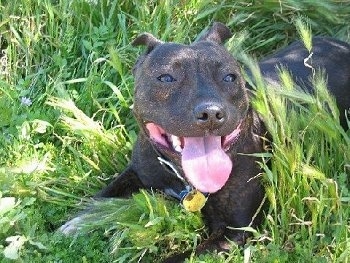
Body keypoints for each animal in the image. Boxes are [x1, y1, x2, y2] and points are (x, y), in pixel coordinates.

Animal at [60, 22, 350, 262]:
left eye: (230, 77)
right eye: (166, 78)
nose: (211, 113)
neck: (183, 179)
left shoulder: (234, 231)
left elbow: (174, 259)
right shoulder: (137, 171)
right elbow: (98, 199)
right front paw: (76, 223)